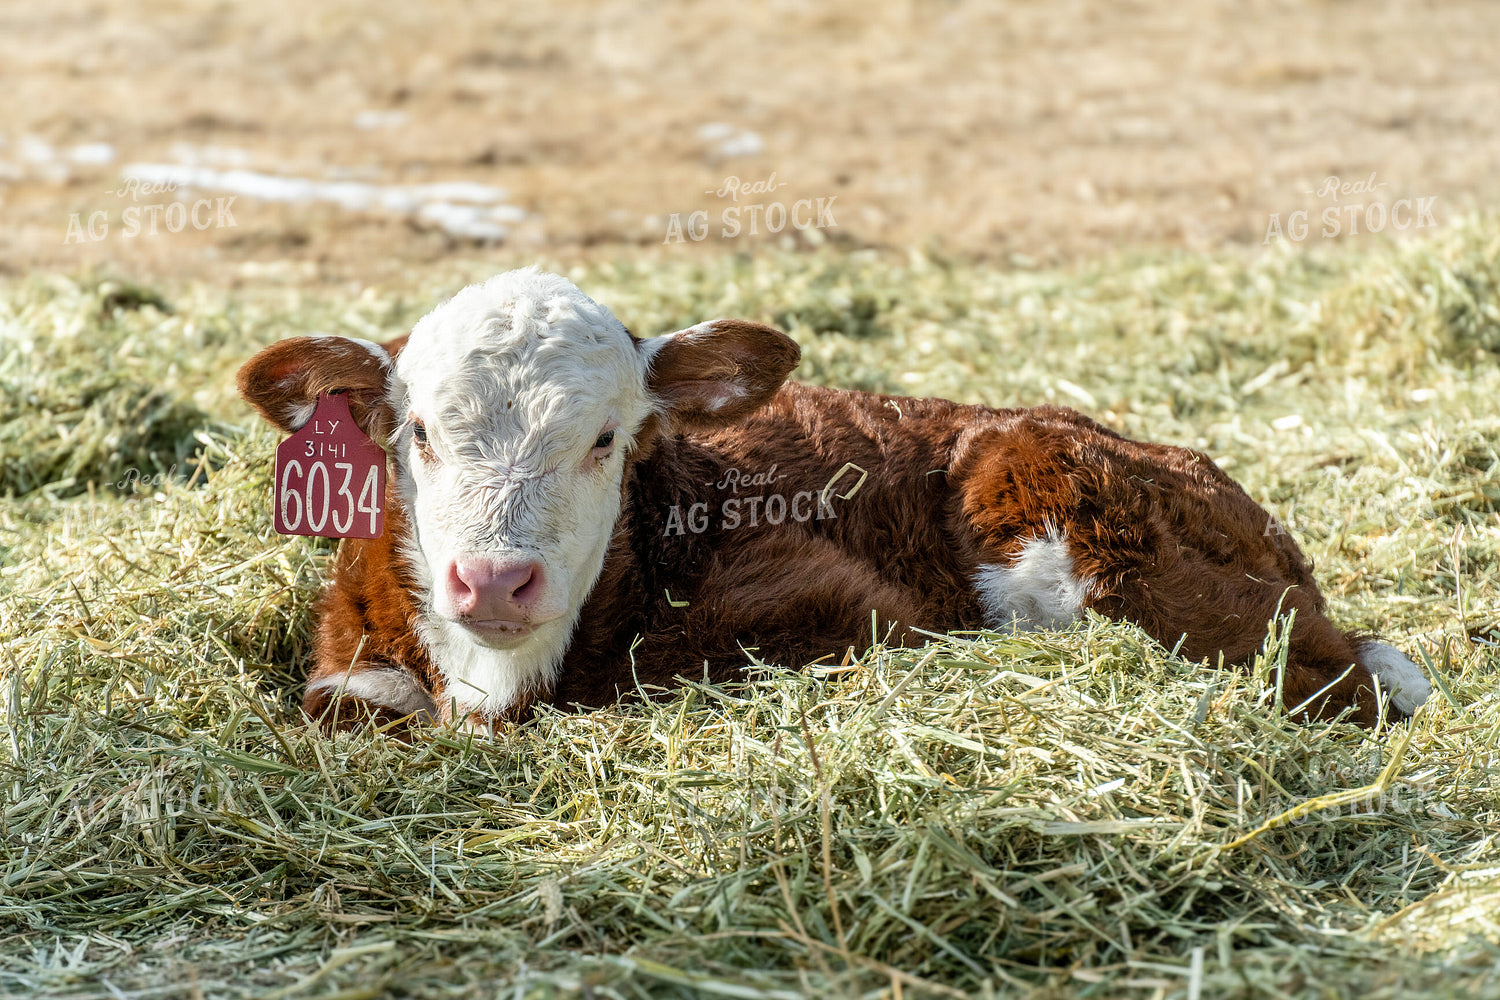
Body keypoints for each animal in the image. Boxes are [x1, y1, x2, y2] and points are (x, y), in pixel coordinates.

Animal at [236, 267, 1431, 732]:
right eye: (418, 435)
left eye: (607, 439)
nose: (492, 579)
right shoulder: (345, 649)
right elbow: (350, 701)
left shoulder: (837, 604)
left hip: (1074, 520)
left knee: (1333, 678)